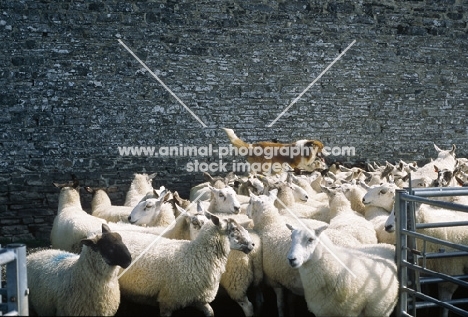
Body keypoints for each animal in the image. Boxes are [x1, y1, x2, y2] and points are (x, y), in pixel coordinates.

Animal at [119, 212, 254, 316]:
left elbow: (210, 312)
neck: (196, 255)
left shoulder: (198, 298)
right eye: (235, 228)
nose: (252, 244)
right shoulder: (168, 300)